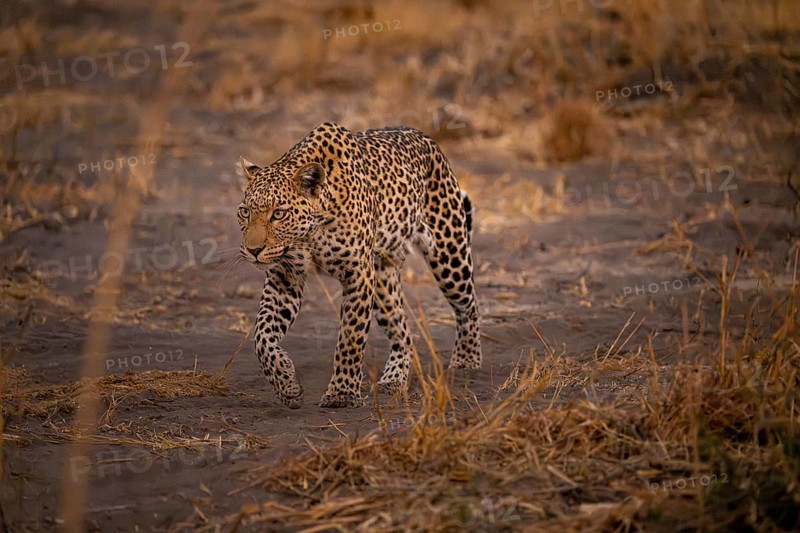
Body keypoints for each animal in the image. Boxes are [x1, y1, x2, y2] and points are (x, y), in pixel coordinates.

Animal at [236, 122, 481, 408]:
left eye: (279, 214)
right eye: (245, 212)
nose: (253, 251)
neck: (312, 229)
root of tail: (428, 139)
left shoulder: (358, 275)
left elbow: (351, 337)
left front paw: (342, 393)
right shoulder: (285, 277)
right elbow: (262, 334)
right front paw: (286, 382)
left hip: (449, 254)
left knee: (469, 305)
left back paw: (466, 361)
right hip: (384, 283)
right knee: (404, 332)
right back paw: (393, 379)